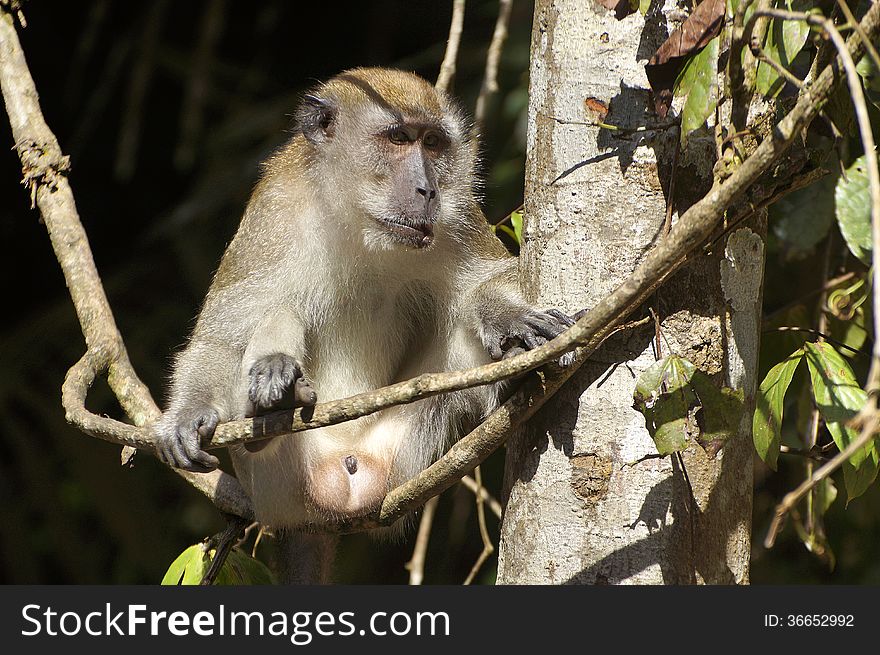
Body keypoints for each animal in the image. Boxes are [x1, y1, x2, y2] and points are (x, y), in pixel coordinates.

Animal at [155, 68, 576, 584]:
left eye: (433, 143)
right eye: (397, 138)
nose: (427, 189)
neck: (359, 220)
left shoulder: (455, 215)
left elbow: (483, 282)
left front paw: (511, 321)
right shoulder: (273, 211)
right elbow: (224, 336)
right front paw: (188, 415)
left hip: (402, 453)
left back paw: (513, 372)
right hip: (276, 485)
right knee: (279, 312)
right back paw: (274, 401)